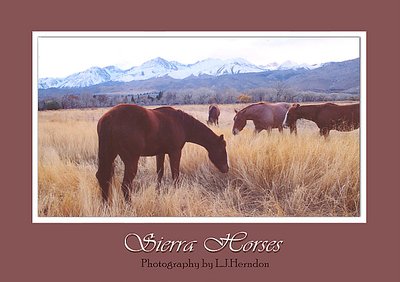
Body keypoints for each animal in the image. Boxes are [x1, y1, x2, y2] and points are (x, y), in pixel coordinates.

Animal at [95, 104, 230, 202]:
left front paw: (158, 192)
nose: (226, 169)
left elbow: (160, 173)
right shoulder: (175, 152)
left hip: (108, 156)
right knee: (126, 185)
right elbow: (175, 175)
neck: (181, 123)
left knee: (103, 178)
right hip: (131, 160)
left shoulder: (160, 153)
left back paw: (105, 205)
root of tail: (108, 119)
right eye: (222, 150)